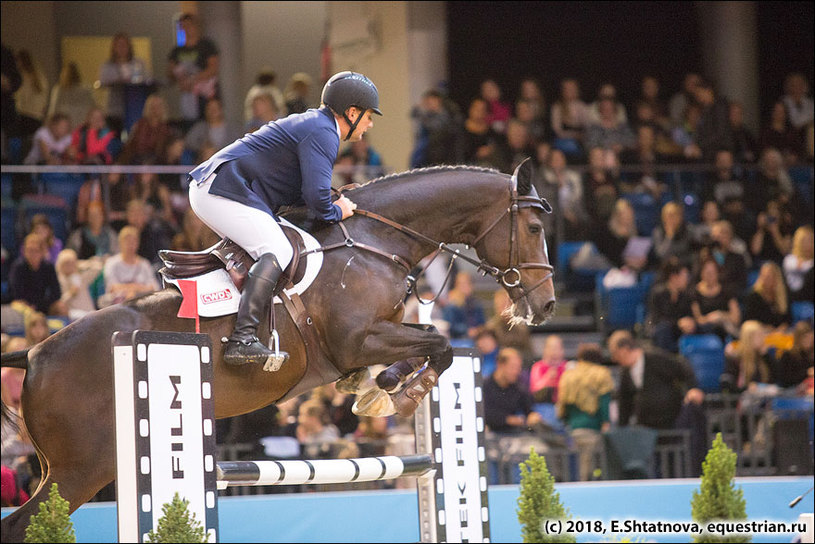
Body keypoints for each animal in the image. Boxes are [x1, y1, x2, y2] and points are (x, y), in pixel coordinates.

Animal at [0, 158, 556, 540]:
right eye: (533, 229)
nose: (546, 305)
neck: (375, 241)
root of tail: (34, 355)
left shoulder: (378, 333)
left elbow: (424, 346)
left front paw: (375, 388)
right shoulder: (357, 339)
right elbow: (439, 344)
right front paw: (398, 393)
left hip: (69, 468)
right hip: (82, 470)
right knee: (23, 525)